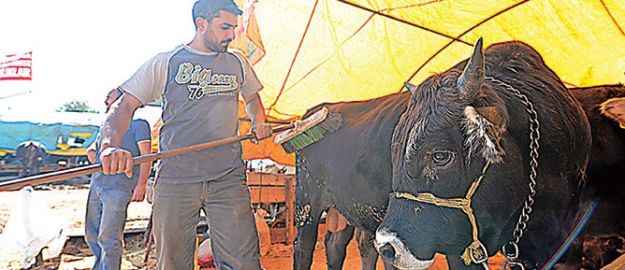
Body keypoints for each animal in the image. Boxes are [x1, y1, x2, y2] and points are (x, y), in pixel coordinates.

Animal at [294, 41, 624, 268]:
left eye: (440, 156)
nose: (388, 245)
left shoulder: (565, 242)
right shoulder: (459, 246)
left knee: (340, 245)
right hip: (307, 205)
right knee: (305, 248)